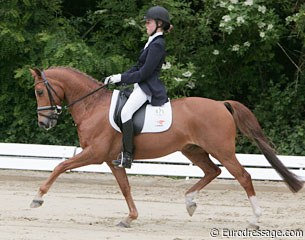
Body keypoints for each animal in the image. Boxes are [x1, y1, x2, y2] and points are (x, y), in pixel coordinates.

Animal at [29, 67, 300, 227]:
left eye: (40, 91)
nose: (44, 123)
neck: (93, 106)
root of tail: (221, 104)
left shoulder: (94, 154)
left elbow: (60, 166)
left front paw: (37, 198)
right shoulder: (111, 159)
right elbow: (125, 187)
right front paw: (130, 217)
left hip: (222, 150)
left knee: (243, 176)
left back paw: (254, 220)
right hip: (193, 149)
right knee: (213, 171)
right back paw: (190, 202)